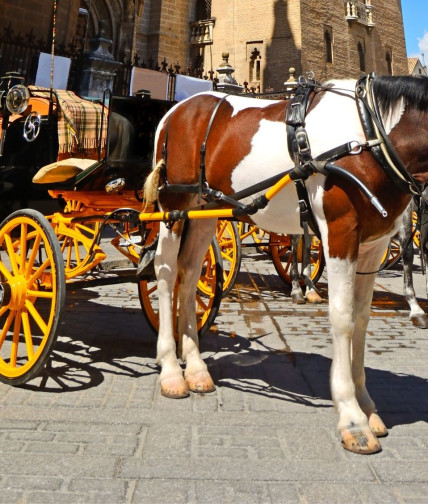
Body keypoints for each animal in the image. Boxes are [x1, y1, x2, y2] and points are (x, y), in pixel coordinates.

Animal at [143, 76, 428, 456]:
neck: (372, 133)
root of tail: (177, 110)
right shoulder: (340, 233)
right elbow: (343, 319)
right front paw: (352, 418)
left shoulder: (374, 244)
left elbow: (362, 320)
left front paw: (367, 406)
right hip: (173, 205)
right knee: (165, 271)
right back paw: (172, 370)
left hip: (205, 210)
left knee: (189, 275)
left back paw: (197, 369)